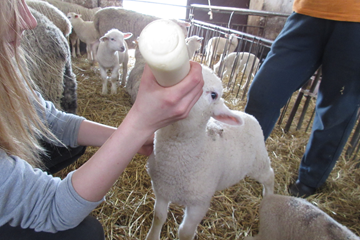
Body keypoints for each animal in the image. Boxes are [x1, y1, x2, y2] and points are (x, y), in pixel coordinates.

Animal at [145, 64, 274, 240]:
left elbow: (185, 232)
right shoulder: (161, 189)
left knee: (269, 176)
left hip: (259, 161)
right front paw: (152, 236)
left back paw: (269, 198)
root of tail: (248, 115)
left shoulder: (199, 204)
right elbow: (159, 216)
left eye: (214, 95)